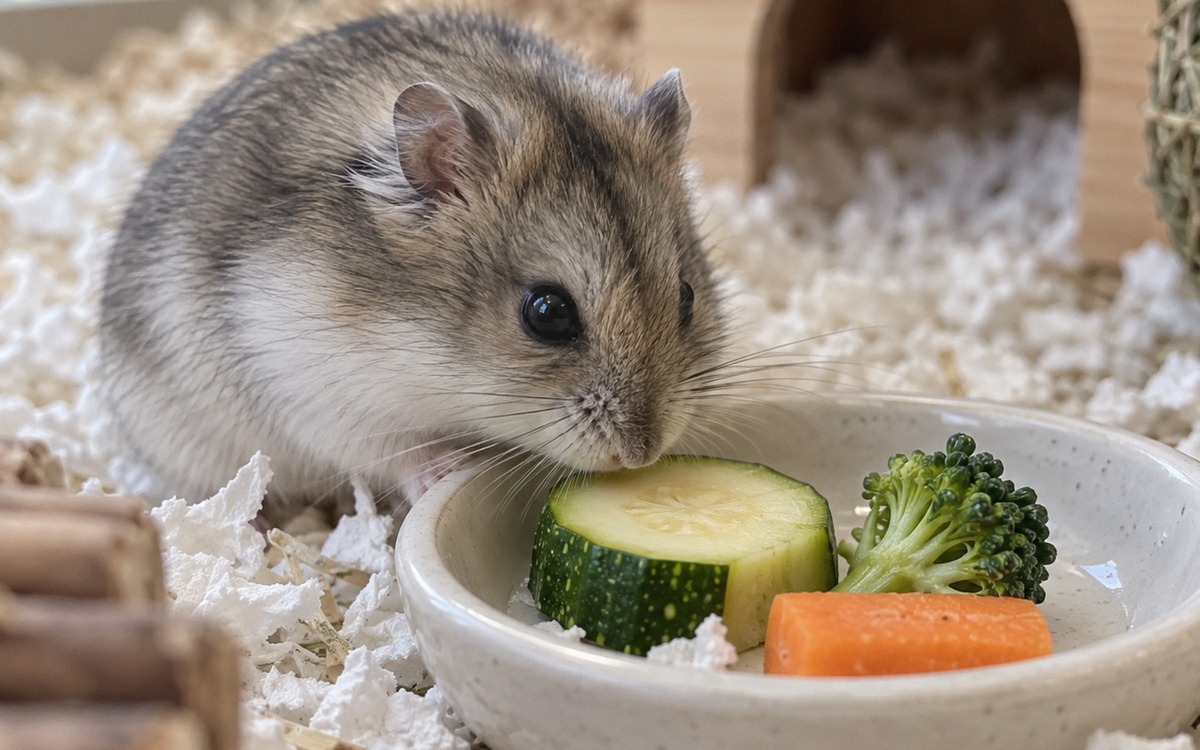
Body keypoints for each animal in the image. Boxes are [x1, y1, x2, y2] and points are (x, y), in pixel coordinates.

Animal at [98, 10, 727, 516]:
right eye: (547, 313)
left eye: (688, 297)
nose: (641, 454)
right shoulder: (313, 385)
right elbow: (392, 450)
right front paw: (448, 468)